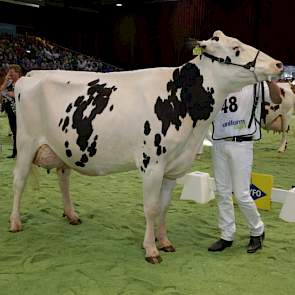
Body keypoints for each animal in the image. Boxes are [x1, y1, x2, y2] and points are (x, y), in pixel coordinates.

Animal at [11, 31, 284, 264]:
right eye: (236, 49)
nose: (279, 65)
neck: (181, 99)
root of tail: (31, 74)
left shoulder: (174, 168)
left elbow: (164, 207)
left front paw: (164, 242)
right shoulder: (152, 163)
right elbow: (151, 208)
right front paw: (151, 250)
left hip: (64, 147)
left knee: (63, 179)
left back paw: (71, 215)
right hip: (25, 143)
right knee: (19, 181)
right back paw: (15, 223)